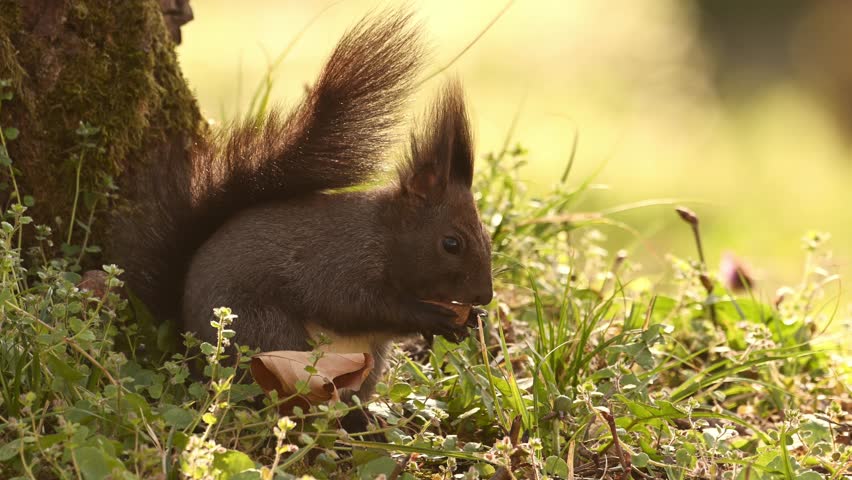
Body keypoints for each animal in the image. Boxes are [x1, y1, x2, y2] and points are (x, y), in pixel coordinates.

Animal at [112, 11, 493, 428]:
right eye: (451, 243)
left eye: (487, 237)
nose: (485, 296)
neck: (385, 235)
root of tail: (190, 347)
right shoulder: (337, 263)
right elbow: (353, 306)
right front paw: (430, 317)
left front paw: (469, 323)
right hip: (266, 334)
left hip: (368, 360)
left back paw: (362, 419)